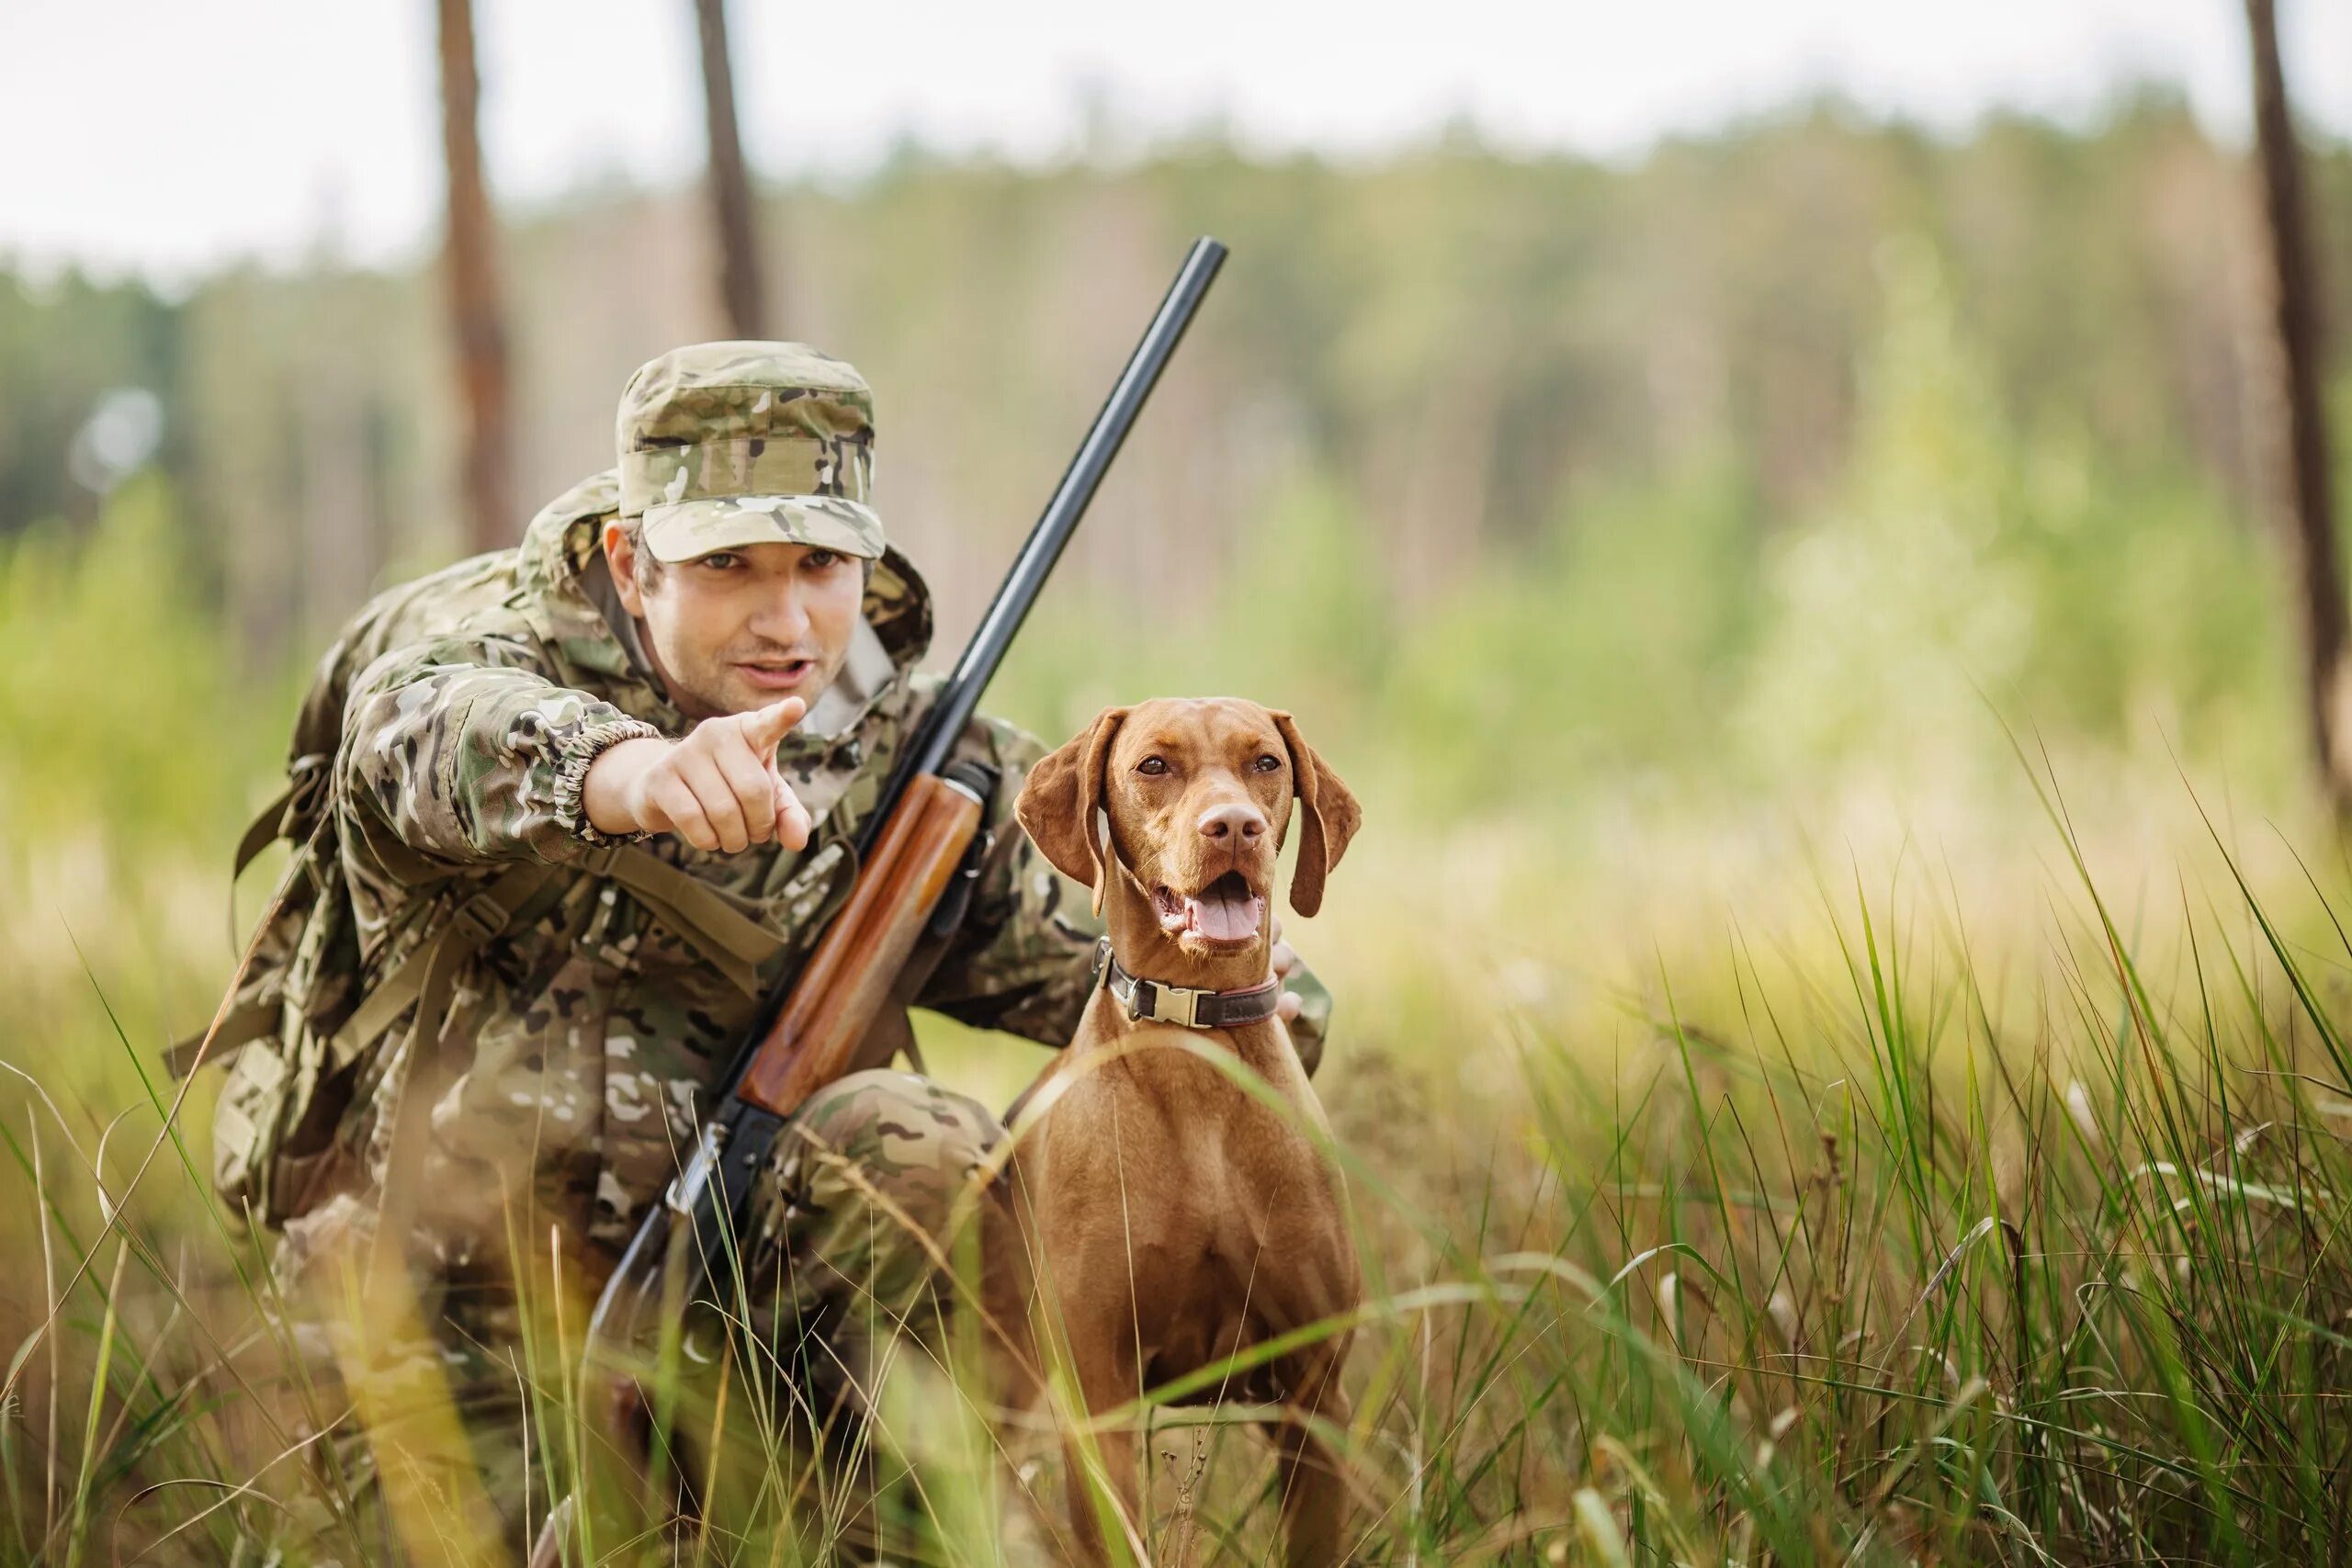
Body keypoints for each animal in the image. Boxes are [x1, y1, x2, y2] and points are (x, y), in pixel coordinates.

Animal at [1001, 700, 1374, 1568]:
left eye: (1266, 762)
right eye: (1153, 765)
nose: (1233, 826)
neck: (1195, 1040)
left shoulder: (1314, 1393)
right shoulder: (1097, 1398)